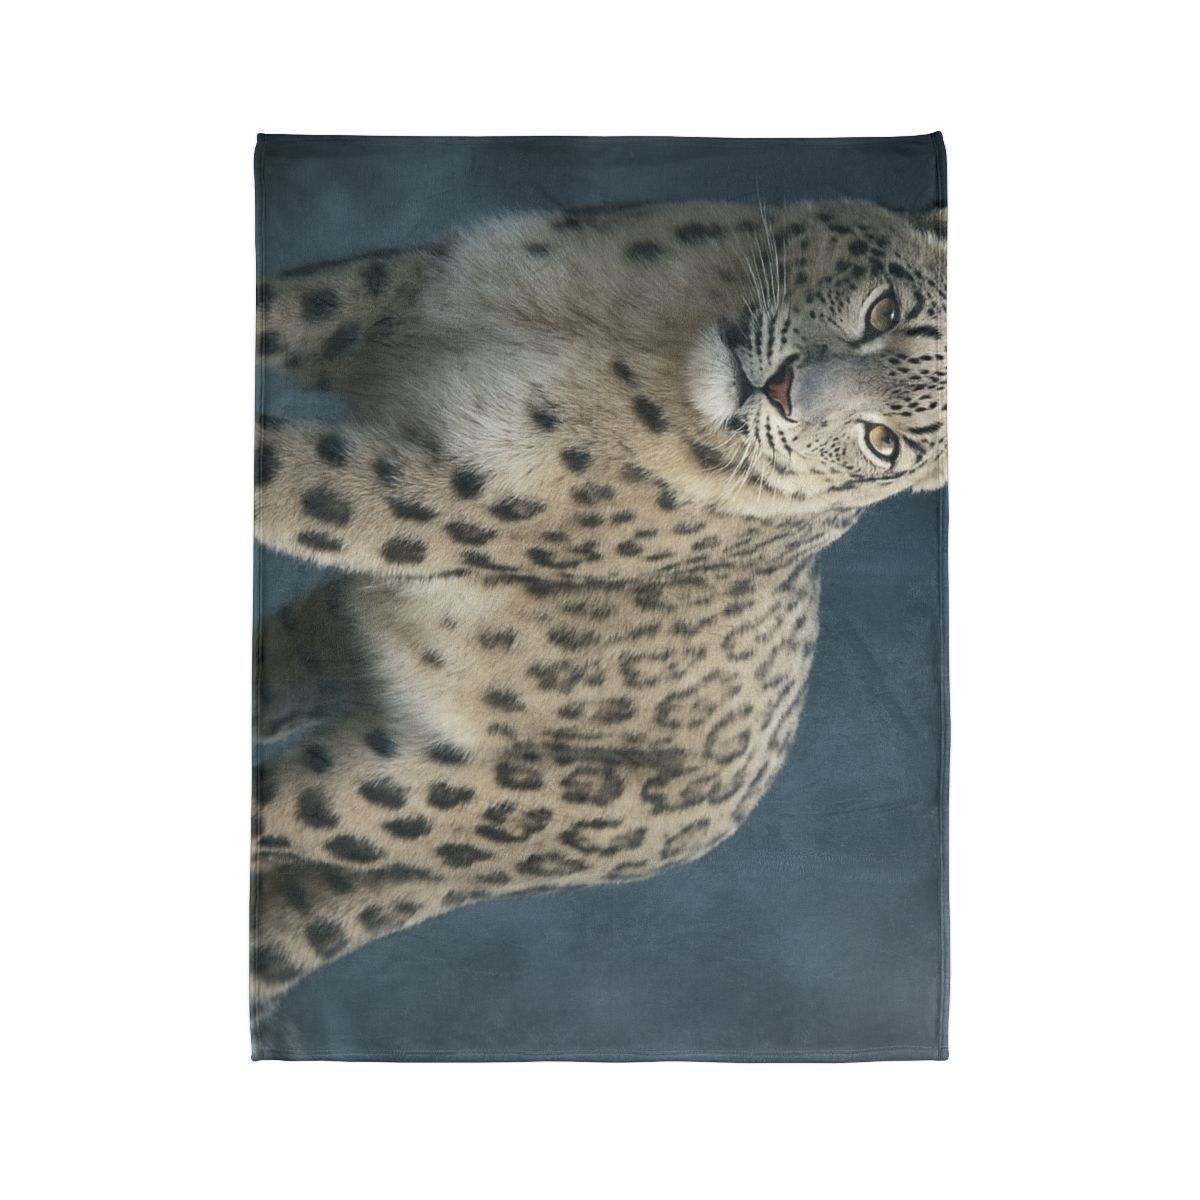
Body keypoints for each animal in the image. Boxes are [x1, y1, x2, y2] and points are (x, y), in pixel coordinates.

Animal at [251, 199, 947, 1020]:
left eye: (883, 442)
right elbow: (281, 308)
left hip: (415, 796)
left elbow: (280, 475)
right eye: (886, 310)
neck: (624, 317)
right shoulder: (393, 291)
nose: (780, 389)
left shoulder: (439, 495)